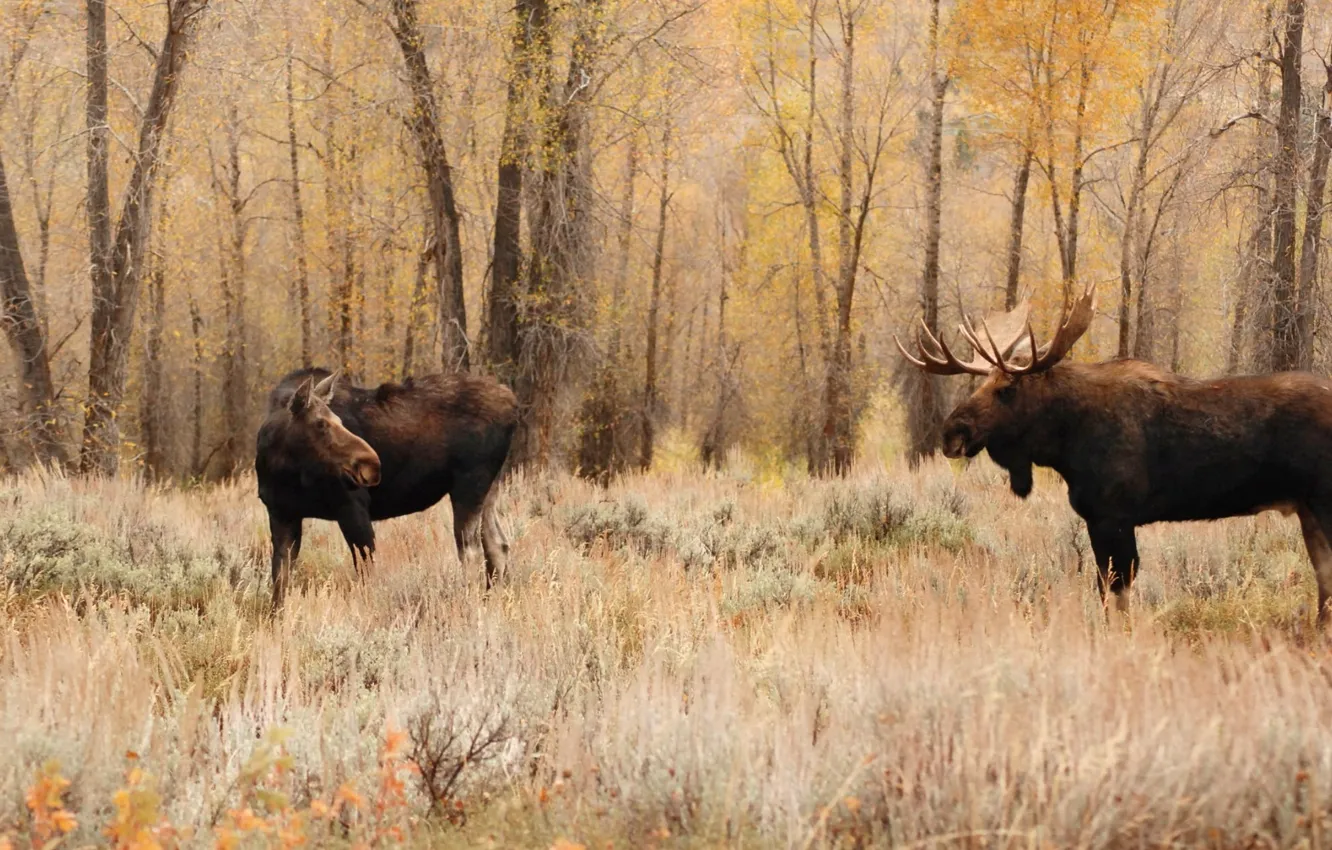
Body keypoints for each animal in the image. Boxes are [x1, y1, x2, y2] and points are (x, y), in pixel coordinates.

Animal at [256, 368, 517, 609]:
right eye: (320, 424)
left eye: (339, 421)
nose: (371, 463)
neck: (282, 471)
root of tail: (513, 406)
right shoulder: (282, 515)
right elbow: (280, 582)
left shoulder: (352, 506)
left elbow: (366, 573)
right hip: (489, 488)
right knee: (498, 545)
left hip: (469, 483)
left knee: (471, 551)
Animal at [898, 283, 1332, 623]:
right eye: (981, 383)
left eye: (1006, 388)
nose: (952, 432)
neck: (1065, 442)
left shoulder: (1113, 516)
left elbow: (1116, 592)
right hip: (1308, 509)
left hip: (1322, 503)